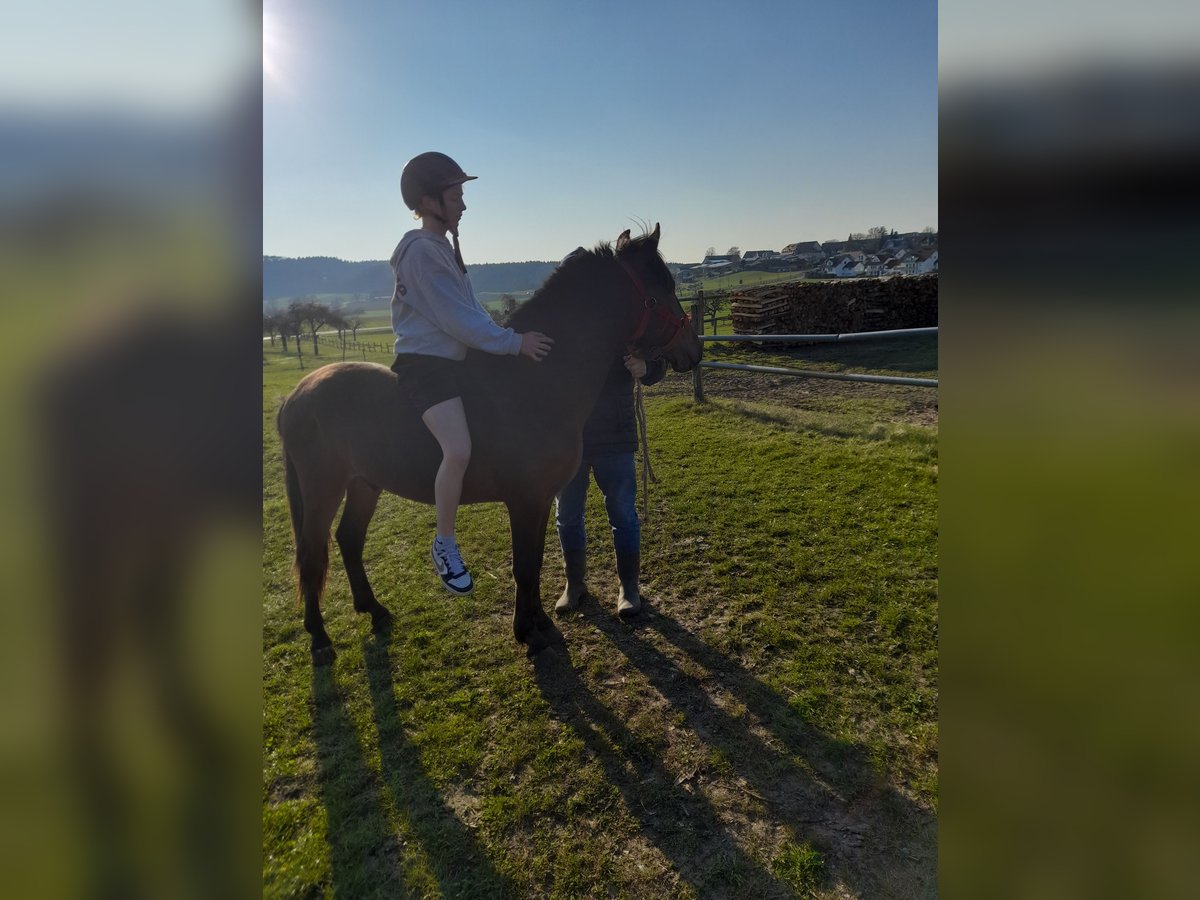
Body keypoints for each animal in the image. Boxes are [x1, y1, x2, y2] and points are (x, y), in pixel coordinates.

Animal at [276, 224, 703, 664]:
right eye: (660, 291)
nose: (695, 350)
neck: (533, 381)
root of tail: (297, 394)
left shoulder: (540, 499)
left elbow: (534, 561)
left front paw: (541, 624)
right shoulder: (524, 500)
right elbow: (523, 566)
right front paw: (528, 633)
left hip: (364, 484)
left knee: (349, 540)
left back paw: (374, 610)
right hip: (323, 489)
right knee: (310, 554)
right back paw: (320, 638)